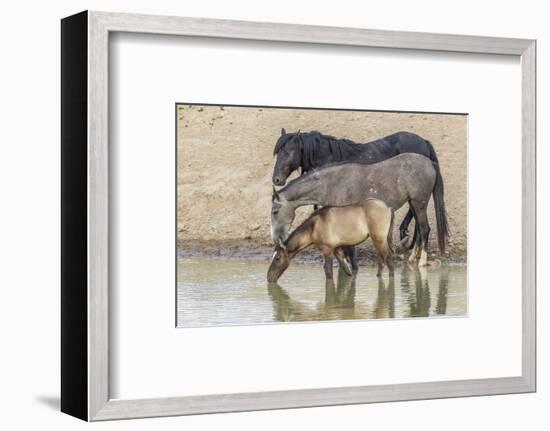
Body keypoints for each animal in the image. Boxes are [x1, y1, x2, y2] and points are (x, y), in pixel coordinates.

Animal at [272, 128, 448, 264]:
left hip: (418, 202)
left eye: (288, 152)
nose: (276, 179)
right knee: (418, 225)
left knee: (424, 228)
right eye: (277, 153)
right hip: (414, 201)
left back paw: (416, 254)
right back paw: (411, 253)